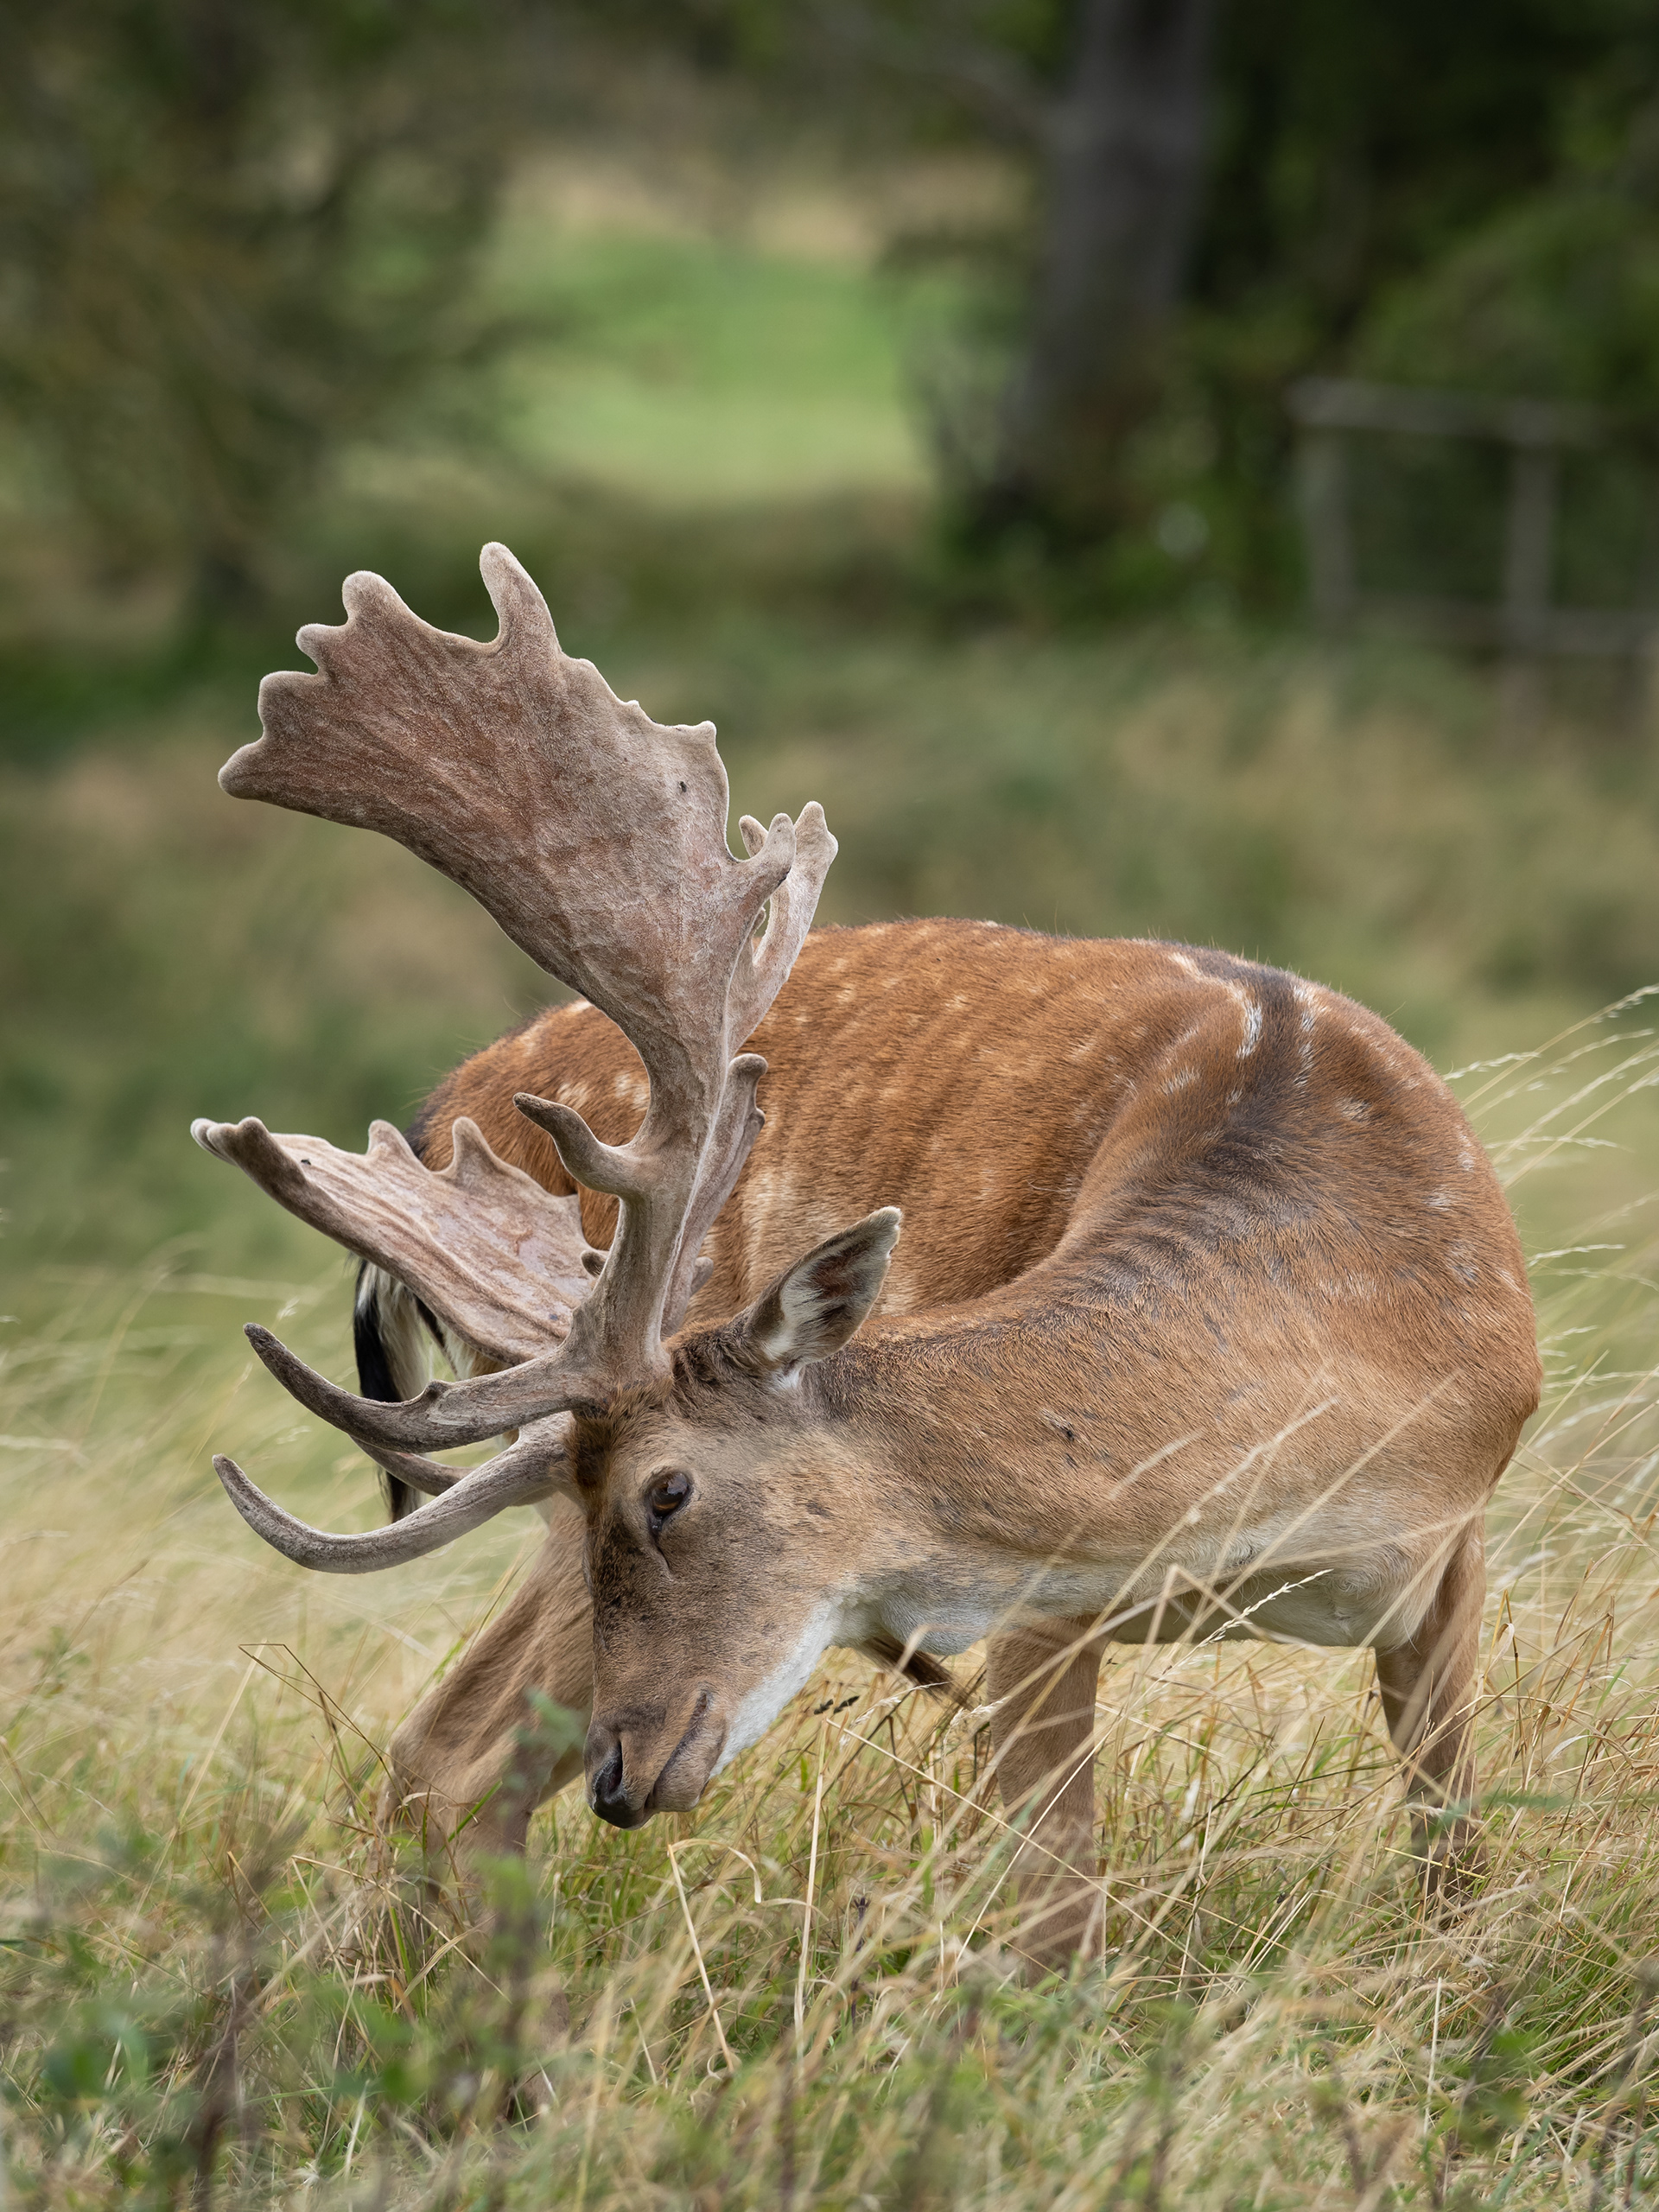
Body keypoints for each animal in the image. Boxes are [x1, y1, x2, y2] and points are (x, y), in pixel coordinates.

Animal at [193, 543, 1540, 1969]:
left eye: (667, 1494)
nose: (621, 1774)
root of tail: (456, 1093)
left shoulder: (1457, 1555)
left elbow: (1457, 1867)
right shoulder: (1037, 1599)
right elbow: (1055, 1910)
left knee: (440, 1759)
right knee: (443, 1760)